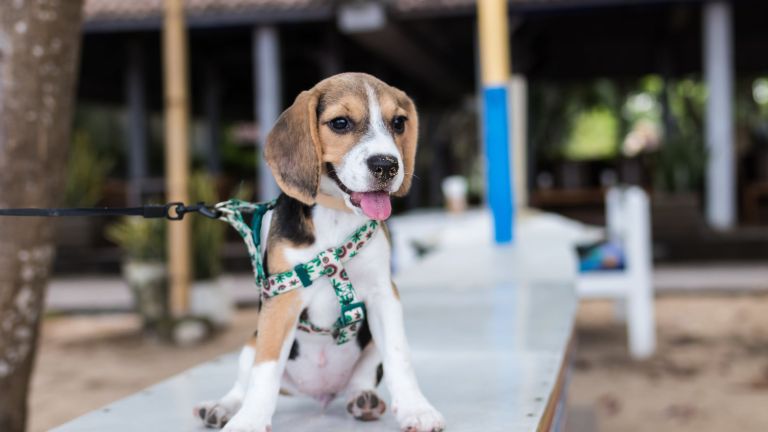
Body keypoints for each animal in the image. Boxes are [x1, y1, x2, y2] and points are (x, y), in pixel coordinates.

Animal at [192, 72, 444, 430]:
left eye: (398, 123)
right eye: (340, 123)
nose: (387, 165)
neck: (335, 214)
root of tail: (320, 394)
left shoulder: (383, 294)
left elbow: (400, 356)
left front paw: (416, 408)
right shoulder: (281, 301)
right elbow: (265, 371)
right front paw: (249, 420)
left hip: (369, 347)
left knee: (361, 379)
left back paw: (364, 400)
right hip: (250, 342)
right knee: (245, 381)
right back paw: (221, 407)